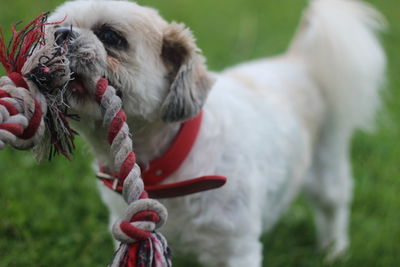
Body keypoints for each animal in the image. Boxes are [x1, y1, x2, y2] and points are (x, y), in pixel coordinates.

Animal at [47, 0, 388, 266]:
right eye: (51, 29)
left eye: (110, 36)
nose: (61, 35)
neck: (163, 172)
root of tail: (297, 62)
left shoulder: (236, 250)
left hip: (327, 164)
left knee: (333, 208)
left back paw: (334, 251)